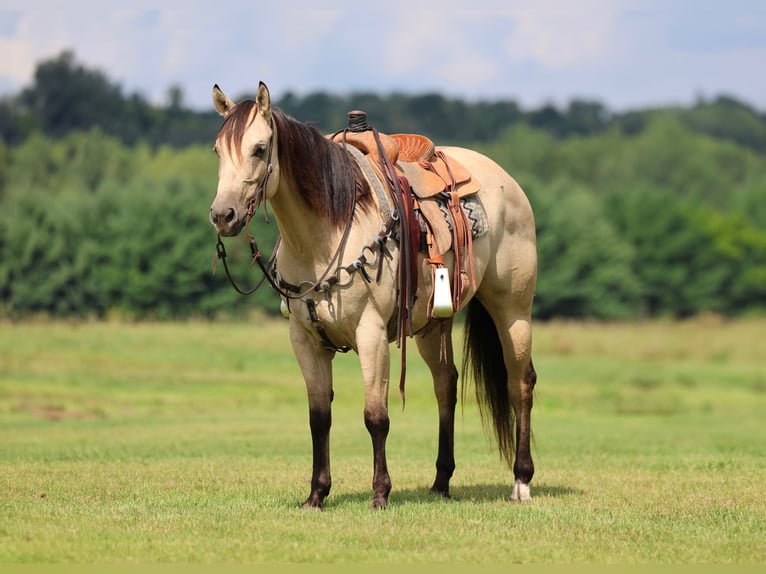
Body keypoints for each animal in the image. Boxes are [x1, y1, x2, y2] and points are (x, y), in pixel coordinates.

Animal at [209, 82, 538, 510]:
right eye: (218, 150)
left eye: (260, 149)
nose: (223, 215)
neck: (325, 234)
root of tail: (507, 182)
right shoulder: (305, 340)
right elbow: (319, 417)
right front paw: (316, 494)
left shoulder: (371, 334)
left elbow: (375, 416)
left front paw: (380, 492)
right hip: (433, 325)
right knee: (446, 385)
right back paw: (441, 481)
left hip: (513, 310)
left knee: (520, 385)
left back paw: (521, 481)